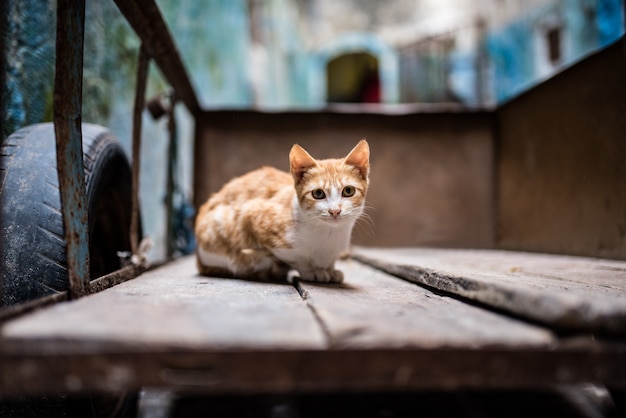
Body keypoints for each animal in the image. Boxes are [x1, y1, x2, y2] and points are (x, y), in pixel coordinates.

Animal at [194, 140, 370, 284]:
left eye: (348, 191)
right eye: (318, 193)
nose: (335, 211)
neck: (329, 236)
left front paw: (330, 270)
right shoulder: (251, 214)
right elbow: (296, 258)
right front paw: (313, 271)